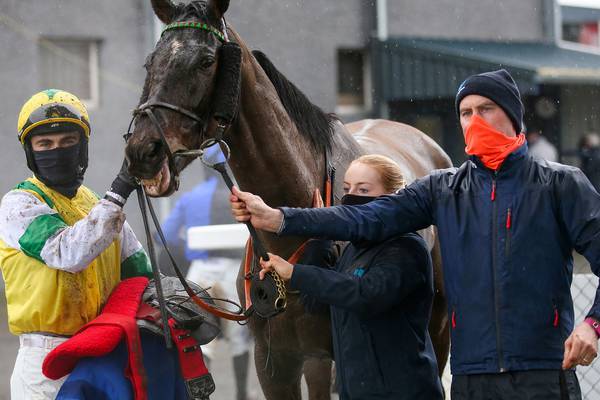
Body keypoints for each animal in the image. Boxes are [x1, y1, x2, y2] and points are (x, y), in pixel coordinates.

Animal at [124, 1, 448, 398]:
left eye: (205, 61)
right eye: (150, 62)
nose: (143, 152)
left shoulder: (328, 358)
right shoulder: (275, 362)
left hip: (437, 327)